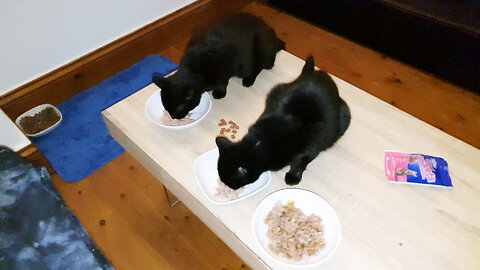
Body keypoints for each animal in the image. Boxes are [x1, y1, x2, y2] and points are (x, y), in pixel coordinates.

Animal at [152, 12, 284, 118]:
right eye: (166, 107)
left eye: (179, 108)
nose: (173, 117)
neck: (193, 68)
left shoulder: (225, 68)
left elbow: (222, 83)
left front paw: (219, 93)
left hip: (260, 52)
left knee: (260, 67)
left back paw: (248, 80)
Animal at [216, 55, 350, 189]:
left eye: (229, 180)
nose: (225, 184)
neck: (259, 145)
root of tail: (315, 73)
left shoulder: (311, 147)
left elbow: (299, 163)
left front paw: (293, 178)